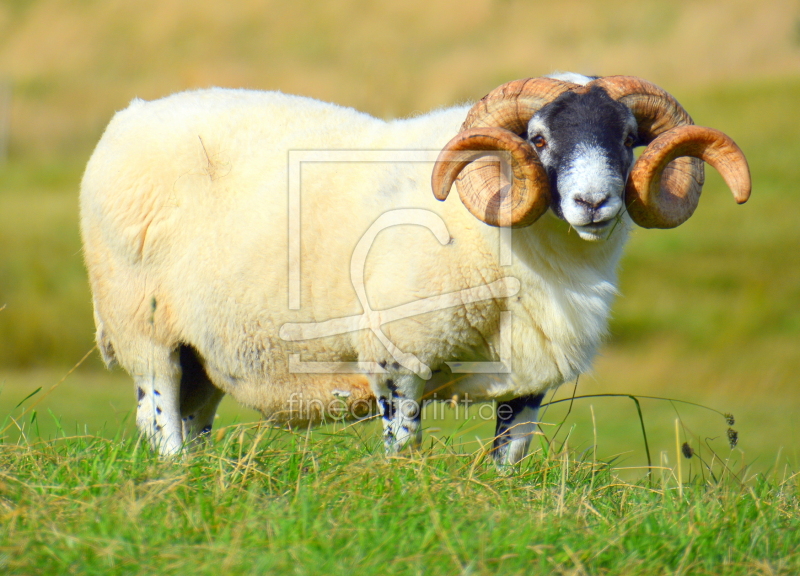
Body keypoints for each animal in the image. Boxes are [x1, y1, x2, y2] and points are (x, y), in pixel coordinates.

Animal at [81, 75, 752, 464]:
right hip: (144, 330)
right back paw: (172, 474)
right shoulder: (396, 357)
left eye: (629, 138)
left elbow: (509, 460)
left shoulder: (530, 378)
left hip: (205, 347)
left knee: (191, 419)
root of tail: (127, 117)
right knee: (160, 420)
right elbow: (404, 449)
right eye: (537, 138)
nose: (594, 202)